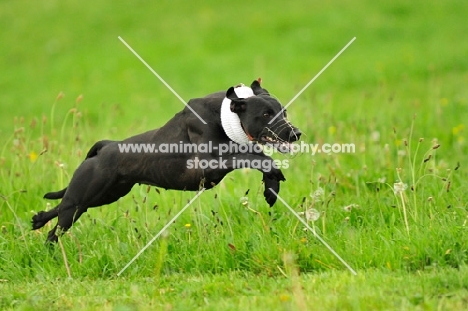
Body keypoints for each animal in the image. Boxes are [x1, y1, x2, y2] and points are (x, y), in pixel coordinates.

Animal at [32, 79, 300, 243]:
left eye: (284, 112)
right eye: (266, 114)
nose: (296, 133)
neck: (227, 116)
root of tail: (106, 145)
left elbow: (258, 156)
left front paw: (271, 189)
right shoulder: (210, 163)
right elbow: (256, 157)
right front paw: (273, 178)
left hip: (104, 195)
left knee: (60, 207)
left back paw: (38, 219)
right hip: (85, 197)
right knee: (56, 229)